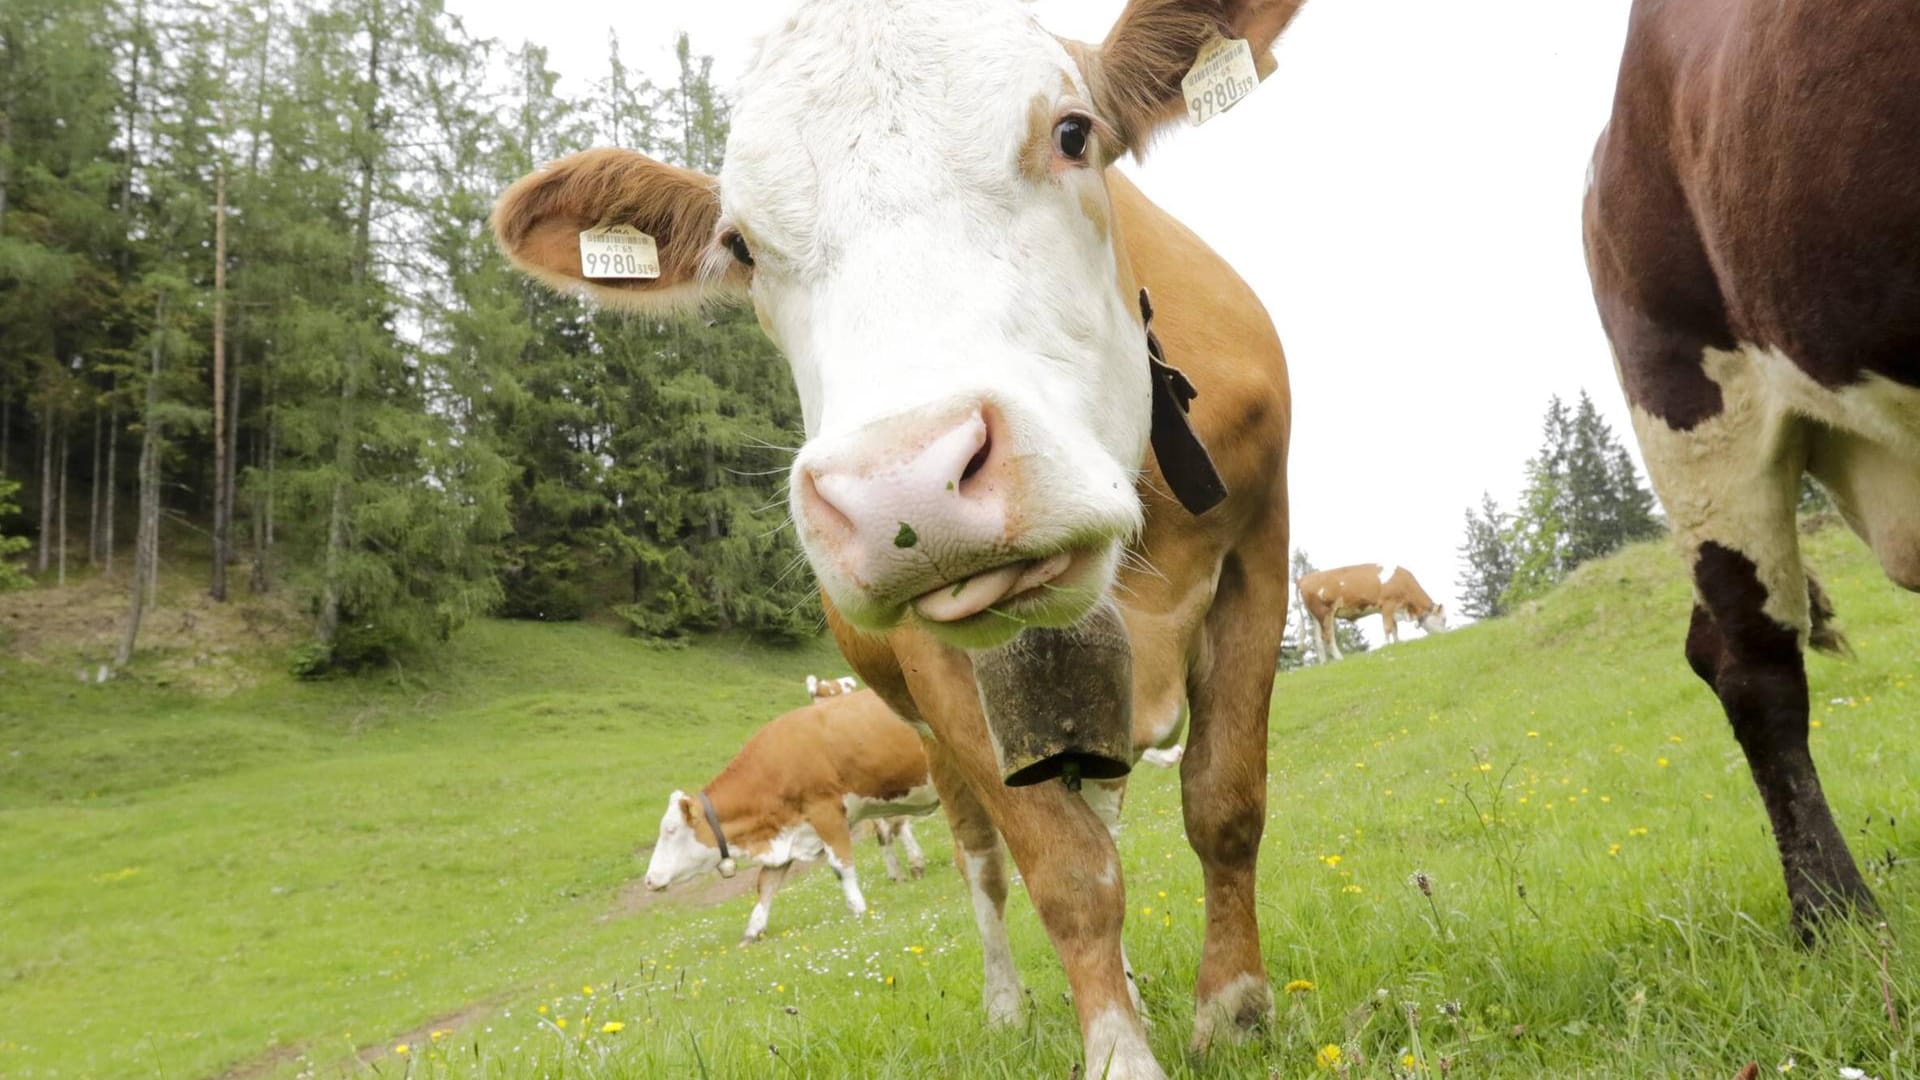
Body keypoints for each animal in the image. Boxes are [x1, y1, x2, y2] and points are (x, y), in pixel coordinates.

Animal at [1297, 557, 1443, 661]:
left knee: (1317, 640)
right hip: (1324, 612)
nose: (1445, 634)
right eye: (1443, 619)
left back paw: (1324, 663)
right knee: (1327, 636)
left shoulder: (1393, 609)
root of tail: (1305, 578)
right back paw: (1340, 658)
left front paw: (1397, 643)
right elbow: (1388, 628)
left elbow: (1395, 628)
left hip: (1315, 616)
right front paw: (1387, 645)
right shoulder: (1387, 604)